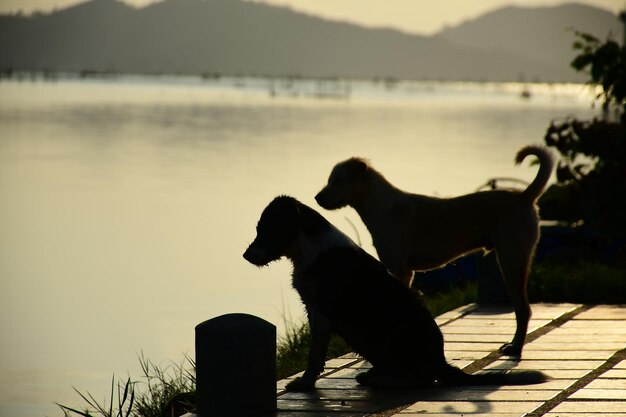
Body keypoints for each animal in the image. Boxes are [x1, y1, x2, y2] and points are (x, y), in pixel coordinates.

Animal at [241, 195, 544, 390]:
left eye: (266, 229)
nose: (246, 255)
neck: (308, 245)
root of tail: (440, 362)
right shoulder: (314, 310)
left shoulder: (322, 311)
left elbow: (315, 354)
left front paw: (304, 384)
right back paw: (375, 376)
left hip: (397, 333)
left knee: (419, 378)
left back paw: (388, 380)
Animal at [314, 145, 552, 356]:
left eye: (338, 180)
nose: (317, 198)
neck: (380, 206)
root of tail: (524, 197)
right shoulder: (405, 273)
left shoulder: (399, 270)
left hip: (512, 260)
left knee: (523, 309)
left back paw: (515, 347)